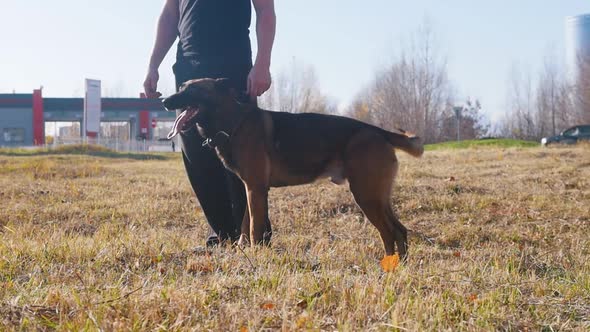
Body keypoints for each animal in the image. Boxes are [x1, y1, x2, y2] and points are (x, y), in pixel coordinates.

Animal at [165, 78, 426, 260]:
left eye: (193, 89)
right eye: (181, 86)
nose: (165, 101)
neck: (232, 122)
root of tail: (378, 131)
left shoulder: (256, 190)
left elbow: (254, 228)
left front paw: (256, 254)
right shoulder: (251, 189)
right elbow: (245, 224)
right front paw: (242, 250)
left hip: (366, 196)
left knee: (389, 232)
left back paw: (388, 264)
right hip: (378, 197)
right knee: (400, 231)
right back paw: (398, 265)